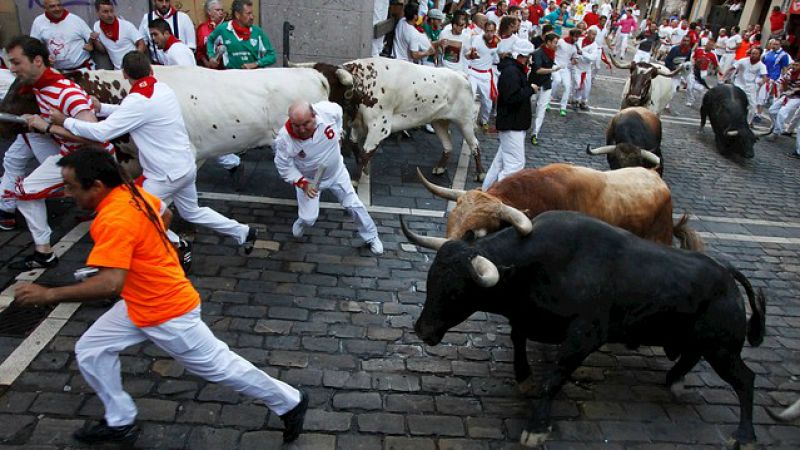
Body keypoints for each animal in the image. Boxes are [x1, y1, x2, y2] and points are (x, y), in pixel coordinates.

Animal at [404, 211, 764, 450]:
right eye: (430, 280)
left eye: (456, 292)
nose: (423, 330)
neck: (544, 264)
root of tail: (727, 272)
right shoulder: (526, 318)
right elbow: (518, 339)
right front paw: (523, 377)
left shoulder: (584, 336)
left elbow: (555, 377)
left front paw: (537, 426)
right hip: (703, 342)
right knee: (691, 357)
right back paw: (674, 380)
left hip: (723, 349)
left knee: (745, 380)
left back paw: (745, 436)